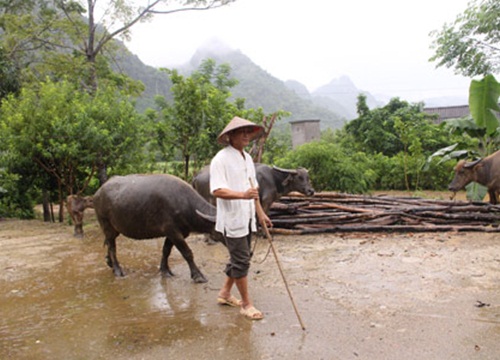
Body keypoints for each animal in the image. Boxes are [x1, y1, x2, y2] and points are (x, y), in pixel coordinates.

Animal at [92, 173, 221, 282]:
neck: (184, 204)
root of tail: (98, 193)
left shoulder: (174, 234)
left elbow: (166, 251)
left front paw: (165, 270)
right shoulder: (173, 232)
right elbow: (187, 253)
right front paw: (198, 276)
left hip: (115, 229)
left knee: (108, 242)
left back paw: (110, 262)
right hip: (106, 225)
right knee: (112, 246)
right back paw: (118, 270)